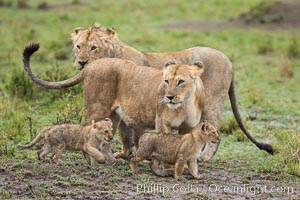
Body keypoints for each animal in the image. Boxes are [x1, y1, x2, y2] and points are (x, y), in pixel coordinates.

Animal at [69, 24, 274, 154]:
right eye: (78, 46)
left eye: (94, 48)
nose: (82, 62)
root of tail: (228, 59)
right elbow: (125, 133)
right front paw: (124, 154)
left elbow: (135, 134)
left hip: (211, 104)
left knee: (216, 132)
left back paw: (204, 158)